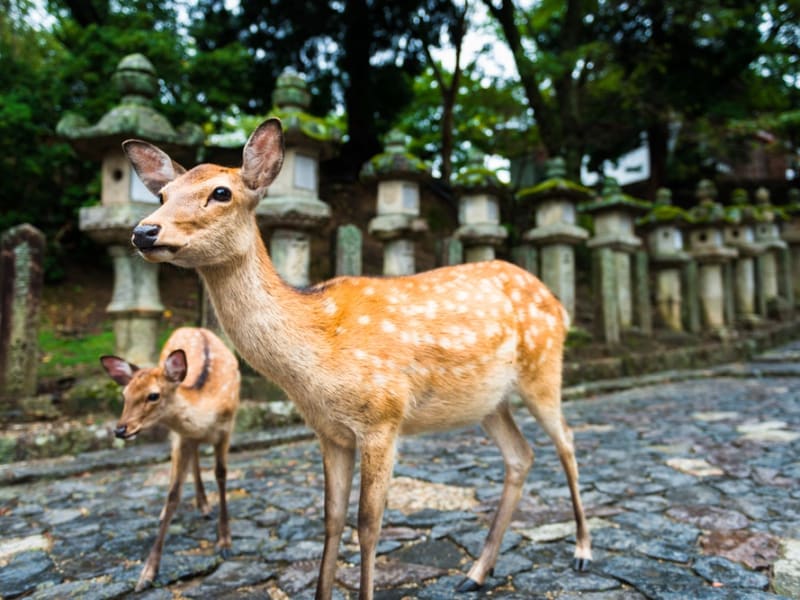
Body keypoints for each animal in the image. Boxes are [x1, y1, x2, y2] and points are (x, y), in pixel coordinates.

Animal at [100, 328, 239, 592]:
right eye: (124, 394)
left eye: (153, 395)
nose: (120, 430)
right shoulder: (183, 437)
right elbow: (173, 494)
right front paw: (147, 574)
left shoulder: (227, 430)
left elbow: (221, 476)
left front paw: (225, 542)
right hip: (177, 436)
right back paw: (193, 506)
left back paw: (205, 506)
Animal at [122, 119, 592, 596]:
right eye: (162, 195)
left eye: (221, 192)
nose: (144, 232)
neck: (314, 360)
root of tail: (558, 305)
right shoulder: (330, 432)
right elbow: (331, 520)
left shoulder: (383, 418)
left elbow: (367, 525)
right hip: (488, 403)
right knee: (521, 456)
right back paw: (476, 573)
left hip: (543, 370)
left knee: (568, 442)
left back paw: (582, 551)